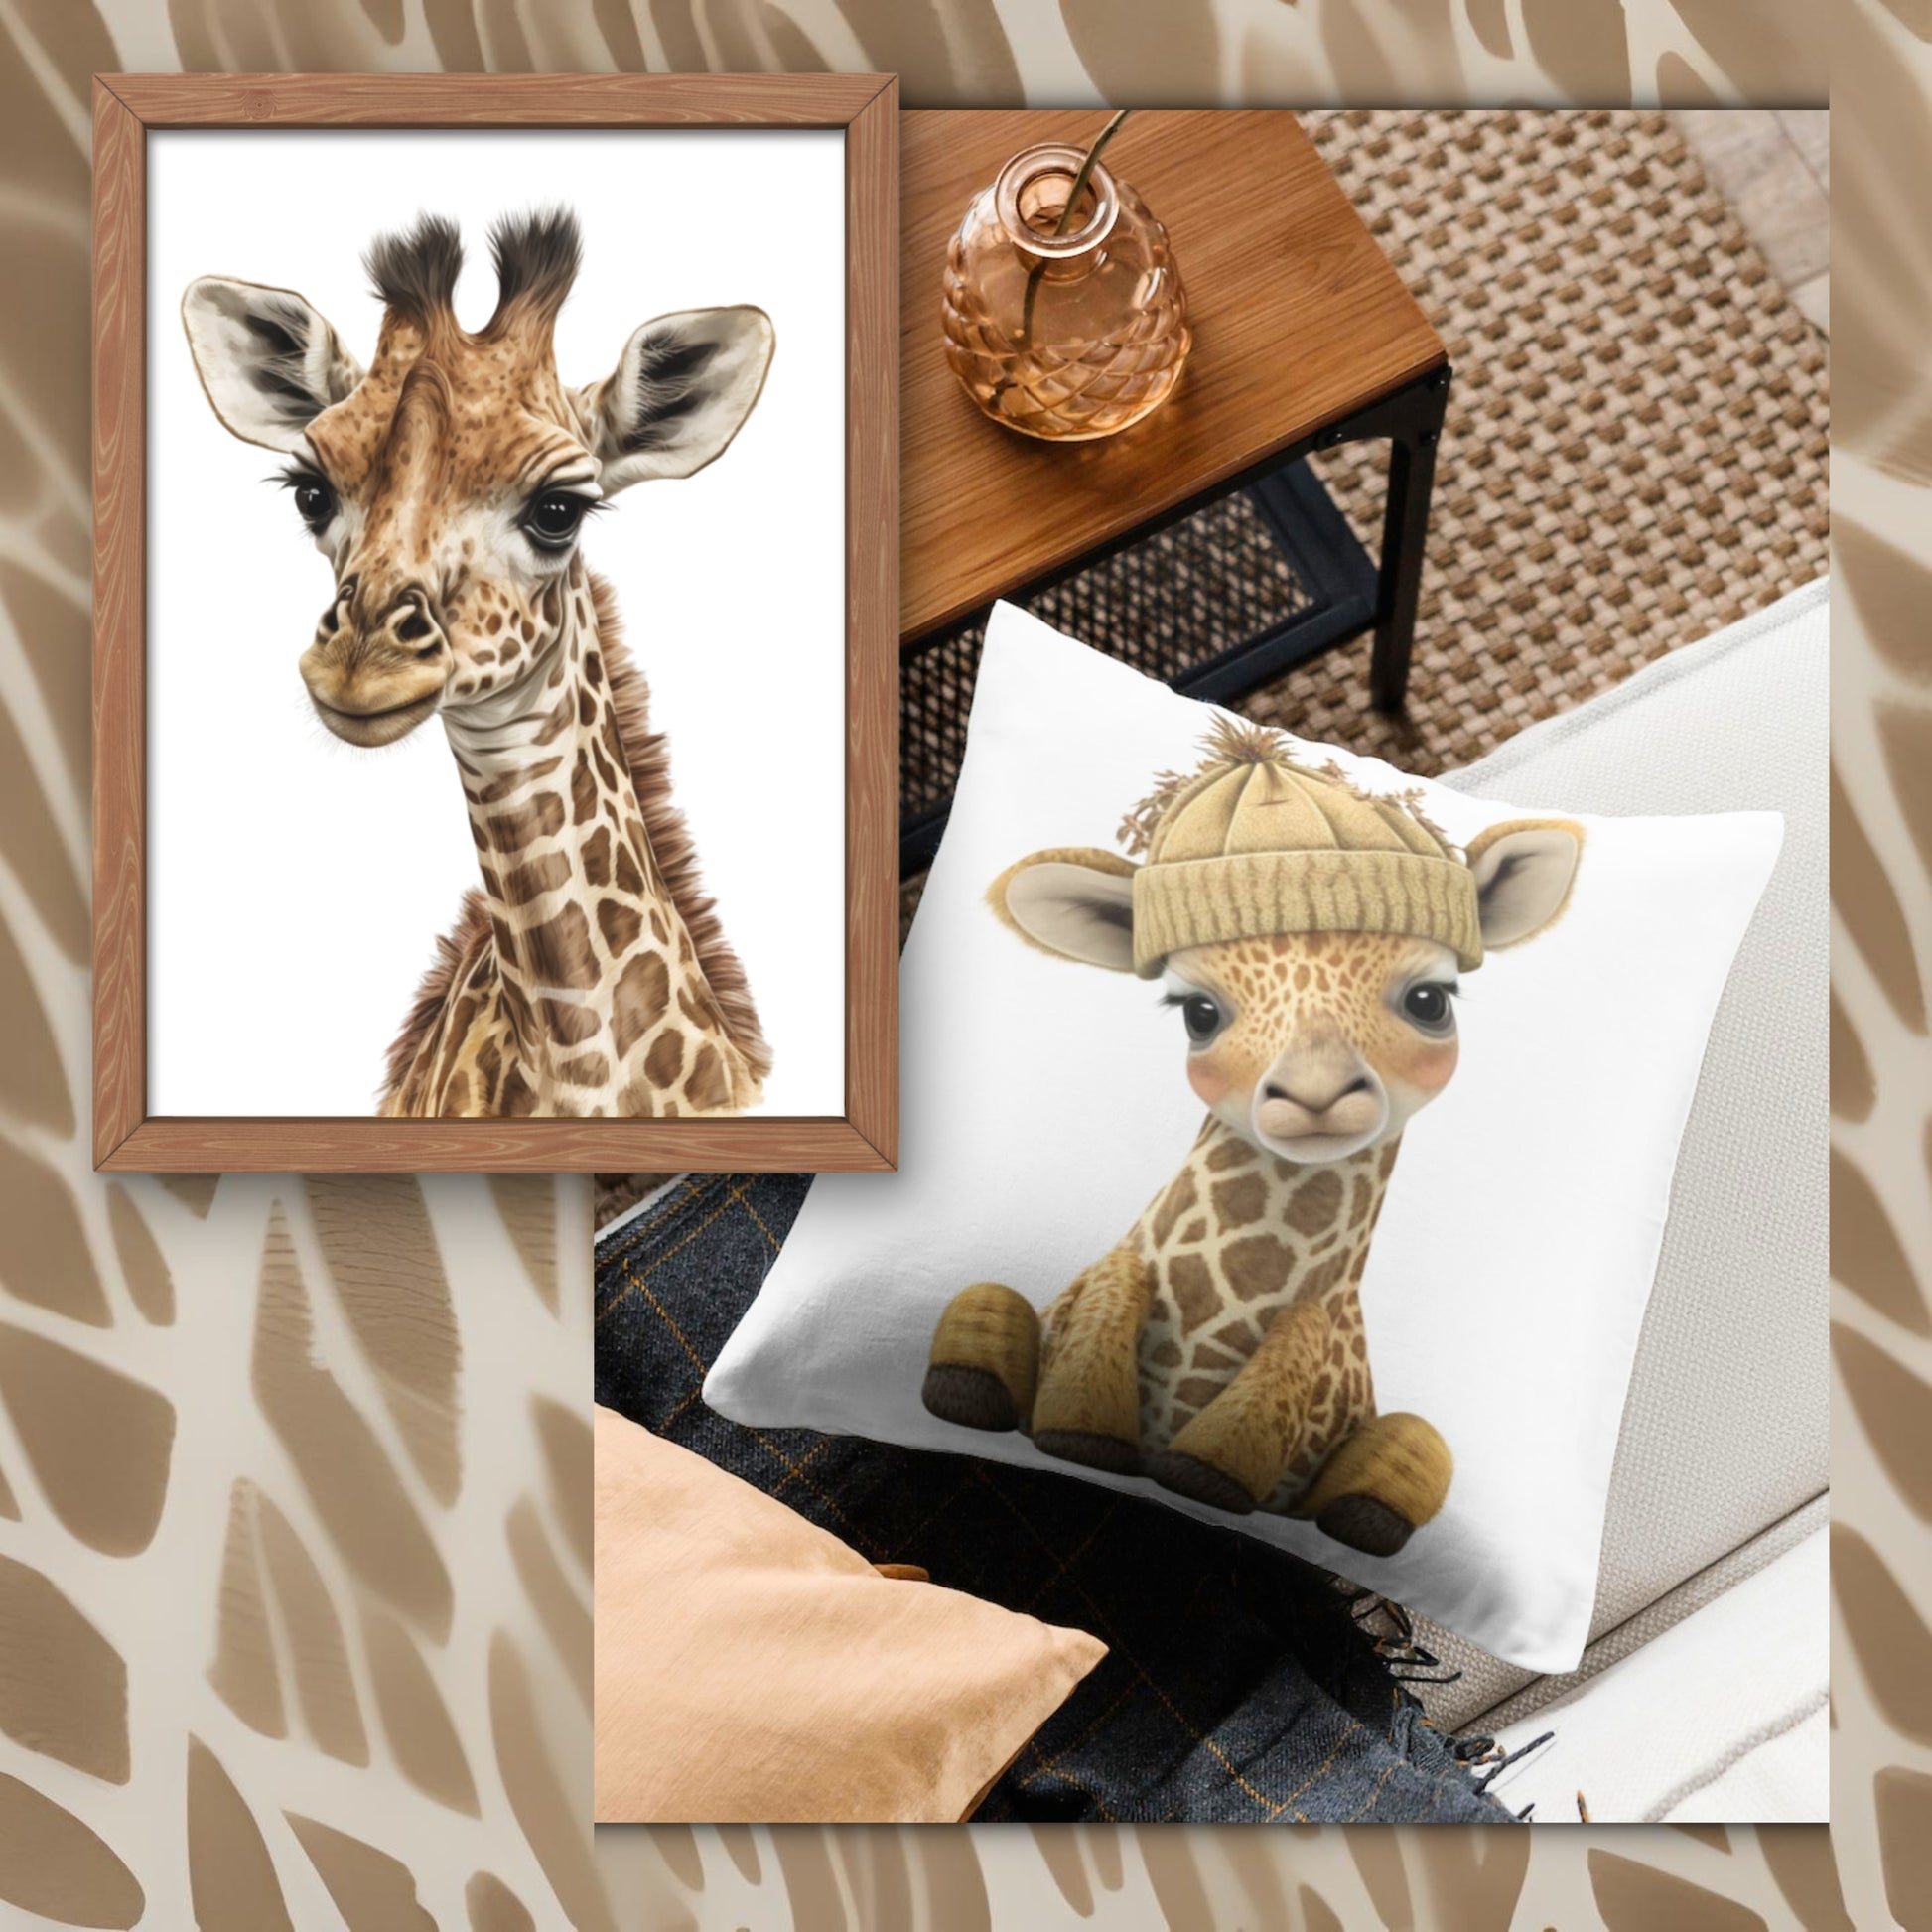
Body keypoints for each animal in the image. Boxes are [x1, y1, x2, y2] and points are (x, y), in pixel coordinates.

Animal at [923, 720, 1584, 1558]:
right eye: (1198, 1011)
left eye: (1430, 999)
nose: (1315, 1096)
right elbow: (1102, 1310)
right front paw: (1084, 1432)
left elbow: (1249, 1423)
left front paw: (1200, 1468)